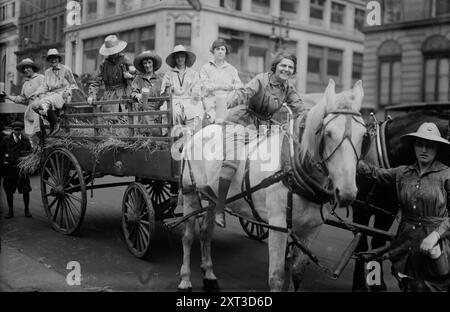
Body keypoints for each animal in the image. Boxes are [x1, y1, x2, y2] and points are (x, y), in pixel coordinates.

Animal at [176, 79, 366, 292]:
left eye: (364, 135)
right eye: (328, 133)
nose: (348, 193)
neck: (292, 168)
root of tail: (199, 132)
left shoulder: (311, 229)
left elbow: (298, 273)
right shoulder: (278, 225)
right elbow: (276, 277)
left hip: (210, 196)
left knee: (205, 233)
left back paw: (209, 273)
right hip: (190, 193)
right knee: (188, 236)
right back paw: (185, 279)